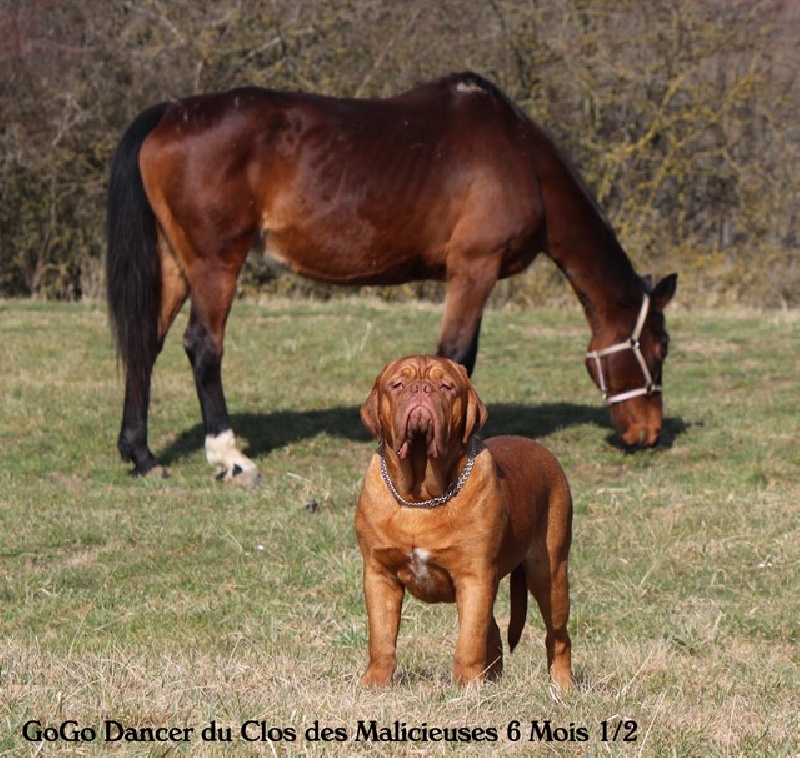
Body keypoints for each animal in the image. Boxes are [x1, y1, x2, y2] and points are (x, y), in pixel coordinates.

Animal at [108, 71, 676, 480]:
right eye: (659, 348)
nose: (649, 435)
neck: (521, 157)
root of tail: (170, 112)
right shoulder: (474, 268)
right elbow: (457, 355)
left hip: (176, 263)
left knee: (146, 345)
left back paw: (141, 454)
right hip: (215, 263)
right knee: (203, 346)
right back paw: (228, 456)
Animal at [354, 356, 572, 688]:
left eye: (446, 386)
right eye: (397, 385)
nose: (422, 389)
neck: (420, 498)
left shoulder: (475, 577)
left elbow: (469, 641)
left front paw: (466, 687)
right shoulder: (380, 575)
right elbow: (381, 639)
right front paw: (374, 684)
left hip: (550, 574)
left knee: (557, 636)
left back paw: (562, 687)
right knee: (493, 631)